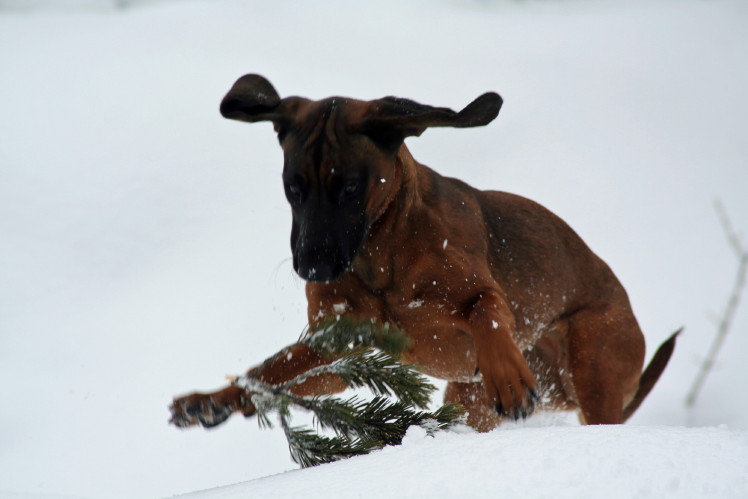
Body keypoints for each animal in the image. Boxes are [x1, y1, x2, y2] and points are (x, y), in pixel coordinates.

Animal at [169, 75, 676, 434]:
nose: (311, 267)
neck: (381, 255)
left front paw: (508, 374)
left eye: (348, 187)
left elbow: (487, 309)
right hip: (473, 399)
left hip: (594, 364)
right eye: (293, 188)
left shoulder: (478, 291)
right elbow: (270, 371)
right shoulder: (337, 344)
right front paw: (211, 400)